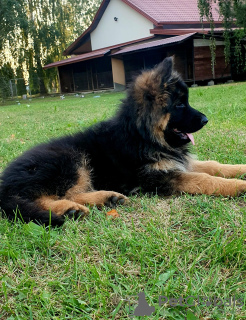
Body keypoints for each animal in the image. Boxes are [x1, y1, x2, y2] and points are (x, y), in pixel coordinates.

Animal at [0, 58, 246, 228]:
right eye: (180, 105)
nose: (206, 120)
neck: (142, 135)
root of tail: (4, 183)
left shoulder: (178, 161)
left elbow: (213, 165)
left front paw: (241, 169)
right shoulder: (157, 177)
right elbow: (204, 179)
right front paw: (239, 186)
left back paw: (107, 199)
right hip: (69, 160)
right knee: (39, 198)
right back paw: (70, 210)